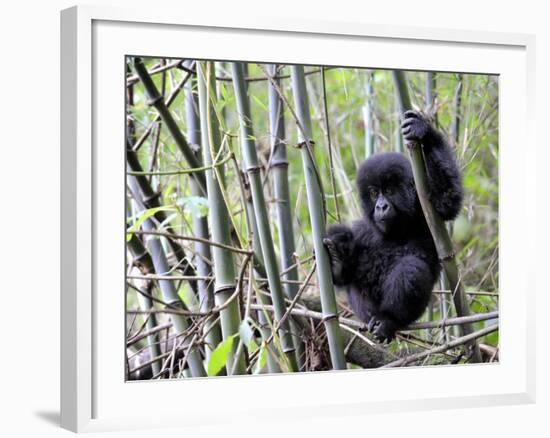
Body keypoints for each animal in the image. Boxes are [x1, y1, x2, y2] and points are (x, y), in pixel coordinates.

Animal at [326, 109, 464, 342]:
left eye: (389, 191)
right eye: (374, 193)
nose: (381, 206)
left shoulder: (426, 212)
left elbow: (447, 199)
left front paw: (424, 133)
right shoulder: (363, 228)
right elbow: (345, 273)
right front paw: (337, 259)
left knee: (410, 268)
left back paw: (388, 320)